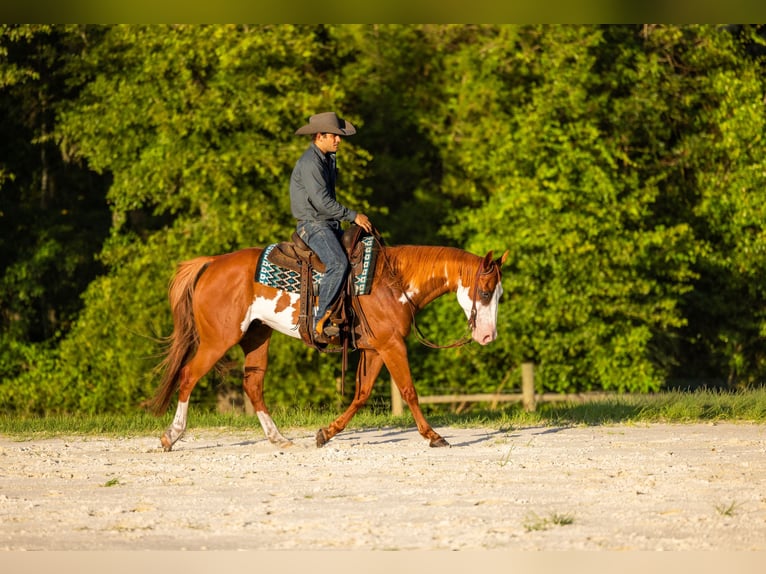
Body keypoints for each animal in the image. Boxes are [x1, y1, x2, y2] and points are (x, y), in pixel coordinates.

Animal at [150, 236, 508, 451]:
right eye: (485, 292)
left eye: (500, 294)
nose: (488, 336)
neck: (393, 282)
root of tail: (211, 263)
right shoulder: (392, 345)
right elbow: (408, 391)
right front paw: (434, 436)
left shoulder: (375, 348)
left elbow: (361, 394)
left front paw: (326, 433)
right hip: (218, 339)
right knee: (188, 376)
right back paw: (171, 436)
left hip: (257, 336)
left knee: (252, 385)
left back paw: (278, 438)